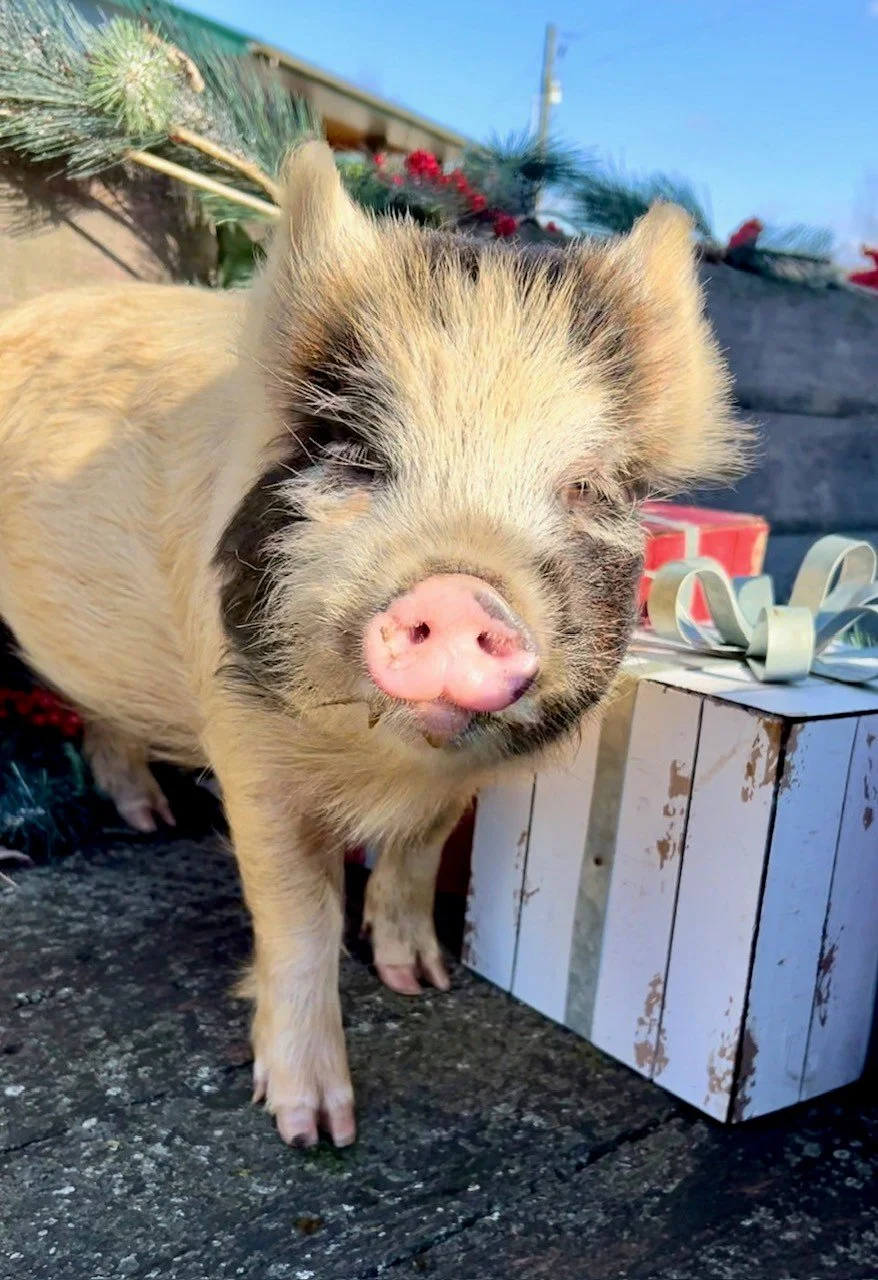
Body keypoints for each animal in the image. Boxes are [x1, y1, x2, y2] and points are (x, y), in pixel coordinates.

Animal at [0, 142, 745, 1148]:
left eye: (587, 486)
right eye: (357, 457)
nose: (459, 591)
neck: (389, 760)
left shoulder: (456, 782)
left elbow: (418, 854)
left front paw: (421, 981)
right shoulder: (248, 749)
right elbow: (301, 914)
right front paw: (316, 1130)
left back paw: (148, 819)